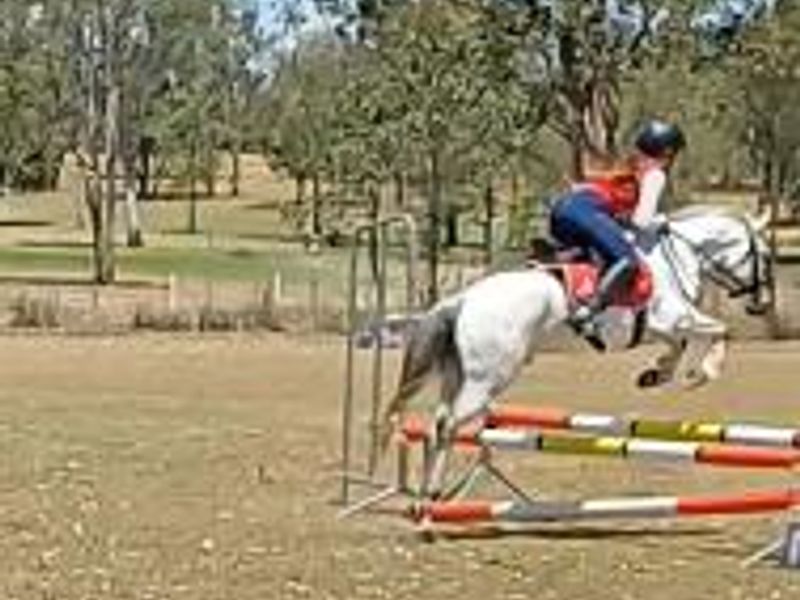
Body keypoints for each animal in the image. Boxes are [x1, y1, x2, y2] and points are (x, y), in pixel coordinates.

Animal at [380, 206, 773, 502]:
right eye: (766, 256)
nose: (762, 304)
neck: (674, 258)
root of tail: (463, 300)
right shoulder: (678, 318)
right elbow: (720, 330)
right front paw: (701, 372)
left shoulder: (662, 327)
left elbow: (679, 345)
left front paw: (656, 373)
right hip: (487, 379)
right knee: (447, 425)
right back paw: (432, 498)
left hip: (457, 375)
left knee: (437, 424)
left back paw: (426, 498)